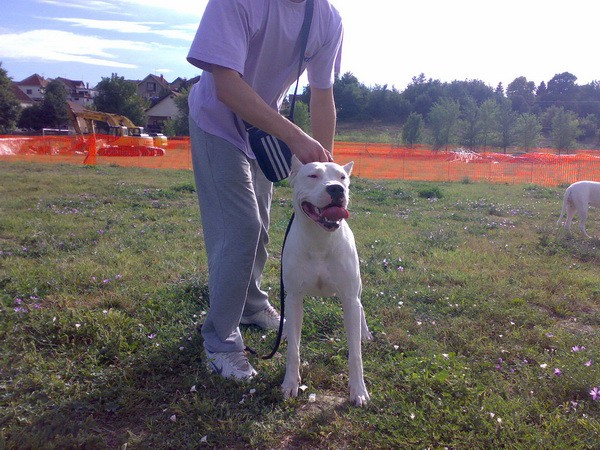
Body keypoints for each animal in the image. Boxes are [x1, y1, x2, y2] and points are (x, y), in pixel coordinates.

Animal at [282, 156, 370, 406]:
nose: (337, 188)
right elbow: (293, 350)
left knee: (361, 308)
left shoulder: (349, 298)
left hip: (356, 293)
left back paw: (365, 333)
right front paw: (290, 384)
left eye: (342, 177)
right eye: (312, 175)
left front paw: (358, 390)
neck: (320, 240)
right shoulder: (294, 297)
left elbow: (355, 354)